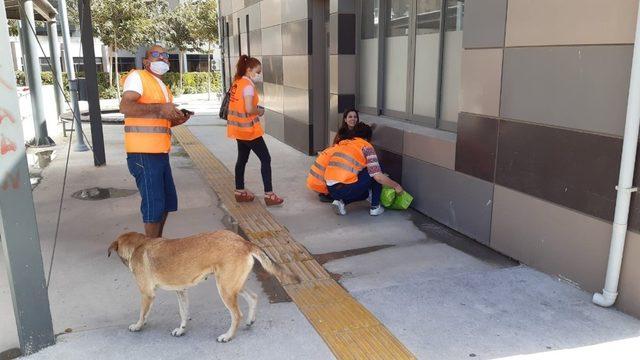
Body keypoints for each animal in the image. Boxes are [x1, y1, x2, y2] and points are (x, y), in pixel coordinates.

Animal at [109, 231, 298, 344]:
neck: (139, 245)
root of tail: (244, 242)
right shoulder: (181, 291)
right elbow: (183, 313)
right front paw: (181, 330)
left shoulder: (147, 294)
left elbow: (142, 314)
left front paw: (138, 326)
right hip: (232, 285)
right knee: (253, 297)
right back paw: (250, 321)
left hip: (225, 289)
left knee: (237, 315)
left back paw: (228, 336)